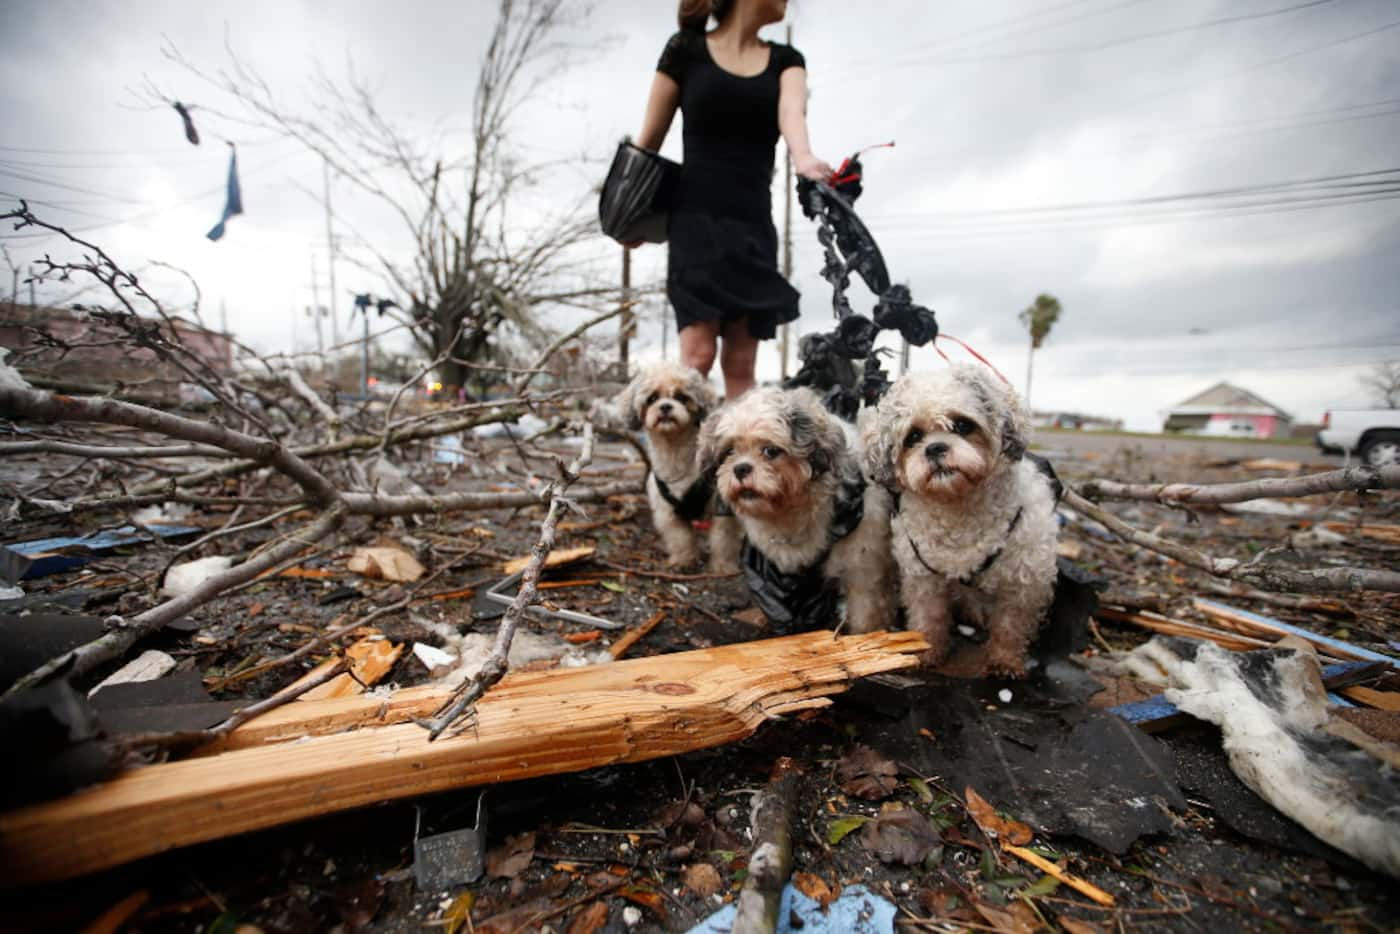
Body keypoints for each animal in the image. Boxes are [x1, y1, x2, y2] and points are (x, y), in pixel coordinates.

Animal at [616, 364, 739, 571]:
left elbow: (723, 541)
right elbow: (680, 539)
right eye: (652, 398)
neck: (674, 454)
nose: (665, 406)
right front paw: (684, 560)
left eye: (681, 397)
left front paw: (723, 567)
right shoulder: (668, 513)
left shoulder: (722, 510)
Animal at [700, 383, 896, 632]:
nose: (741, 468)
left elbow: (865, 611)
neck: (791, 511)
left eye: (771, 451)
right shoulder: (776, 568)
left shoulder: (863, 562)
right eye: (729, 452)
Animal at [856, 361, 1052, 674]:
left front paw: (1005, 660)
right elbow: (929, 617)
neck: (958, 509)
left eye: (962, 425)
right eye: (913, 436)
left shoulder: (1024, 582)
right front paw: (927, 651)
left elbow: (1010, 625)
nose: (935, 448)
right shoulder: (923, 579)